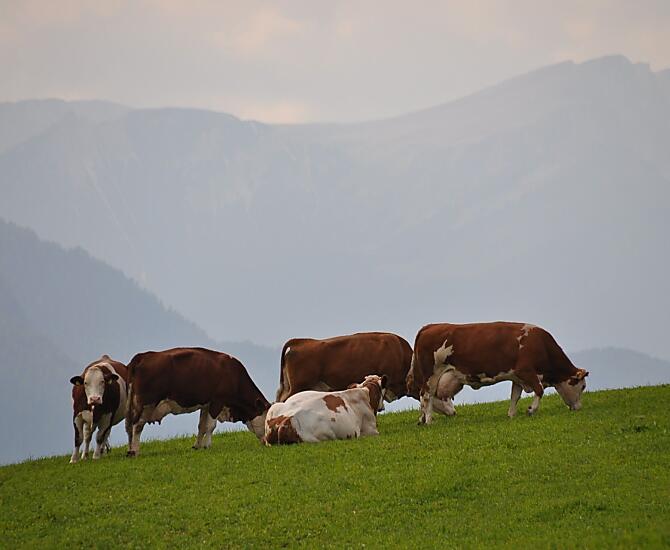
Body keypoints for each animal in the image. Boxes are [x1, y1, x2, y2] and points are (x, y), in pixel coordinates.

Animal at [125, 347, 270, 456]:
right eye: (267, 421)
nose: (268, 442)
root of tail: (142, 356)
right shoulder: (217, 401)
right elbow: (211, 426)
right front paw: (207, 445)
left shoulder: (206, 404)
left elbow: (202, 426)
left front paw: (197, 446)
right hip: (146, 403)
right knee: (137, 425)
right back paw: (135, 451)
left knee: (129, 426)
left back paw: (130, 449)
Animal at [407, 322, 589, 424]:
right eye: (583, 387)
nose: (579, 407)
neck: (541, 345)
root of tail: (430, 326)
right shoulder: (526, 371)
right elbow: (539, 390)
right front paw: (531, 410)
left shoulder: (517, 376)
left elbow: (515, 396)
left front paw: (511, 415)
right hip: (431, 375)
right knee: (426, 395)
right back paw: (429, 420)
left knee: (423, 398)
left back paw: (422, 419)